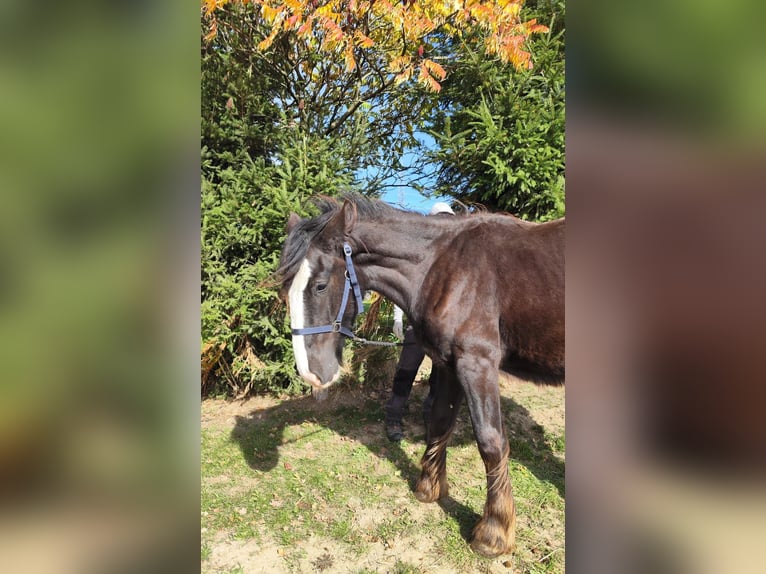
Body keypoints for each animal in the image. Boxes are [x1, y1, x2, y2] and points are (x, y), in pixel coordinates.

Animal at [276, 194, 564, 557]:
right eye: (287, 287)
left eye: (320, 285)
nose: (311, 373)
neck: (444, 267)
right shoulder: (449, 365)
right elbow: (440, 422)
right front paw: (429, 488)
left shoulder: (477, 363)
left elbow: (491, 442)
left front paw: (493, 533)